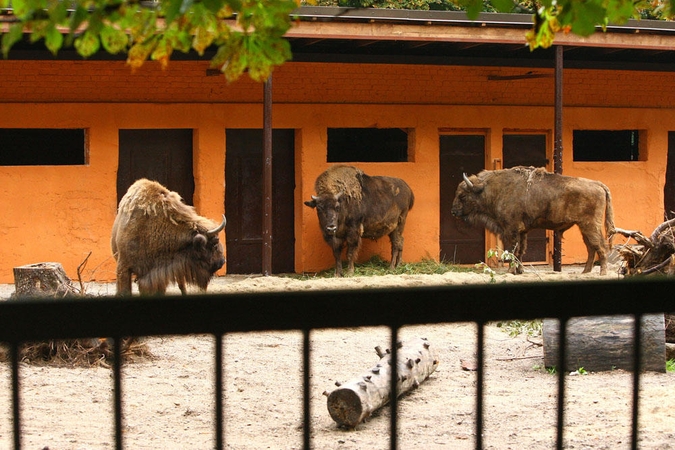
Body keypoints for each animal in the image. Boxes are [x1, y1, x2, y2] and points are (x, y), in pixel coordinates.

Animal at [452, 166, 616, 274]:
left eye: (463, 195)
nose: (453, 211)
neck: (493, 190)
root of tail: (598, 184)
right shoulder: (522, 231)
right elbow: (520, 251)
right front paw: (519, 271)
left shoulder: (510, 230)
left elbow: (512, 250)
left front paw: (511, 271)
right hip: (583, 227)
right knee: (591, 247)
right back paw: (585, 272)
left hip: (590, 226)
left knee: (601, 246)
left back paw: (602, 273)